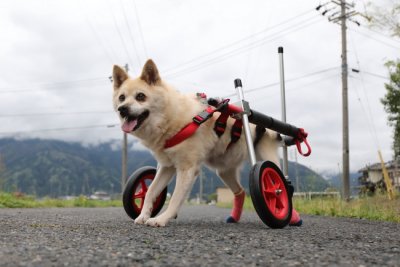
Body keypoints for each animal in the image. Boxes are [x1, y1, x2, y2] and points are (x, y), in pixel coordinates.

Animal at [112, 59, 282, 227]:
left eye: (140, 96)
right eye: (121, 98)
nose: (122, 109)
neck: (171, 118)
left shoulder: (187, 169)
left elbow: (175, 198)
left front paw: (161, 219)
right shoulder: (166, 167)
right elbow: (151, 190)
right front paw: (143, 215)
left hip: (267, 162)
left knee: (282, 184)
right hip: (224, 171)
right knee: (240, 191)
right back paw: (234, 217)